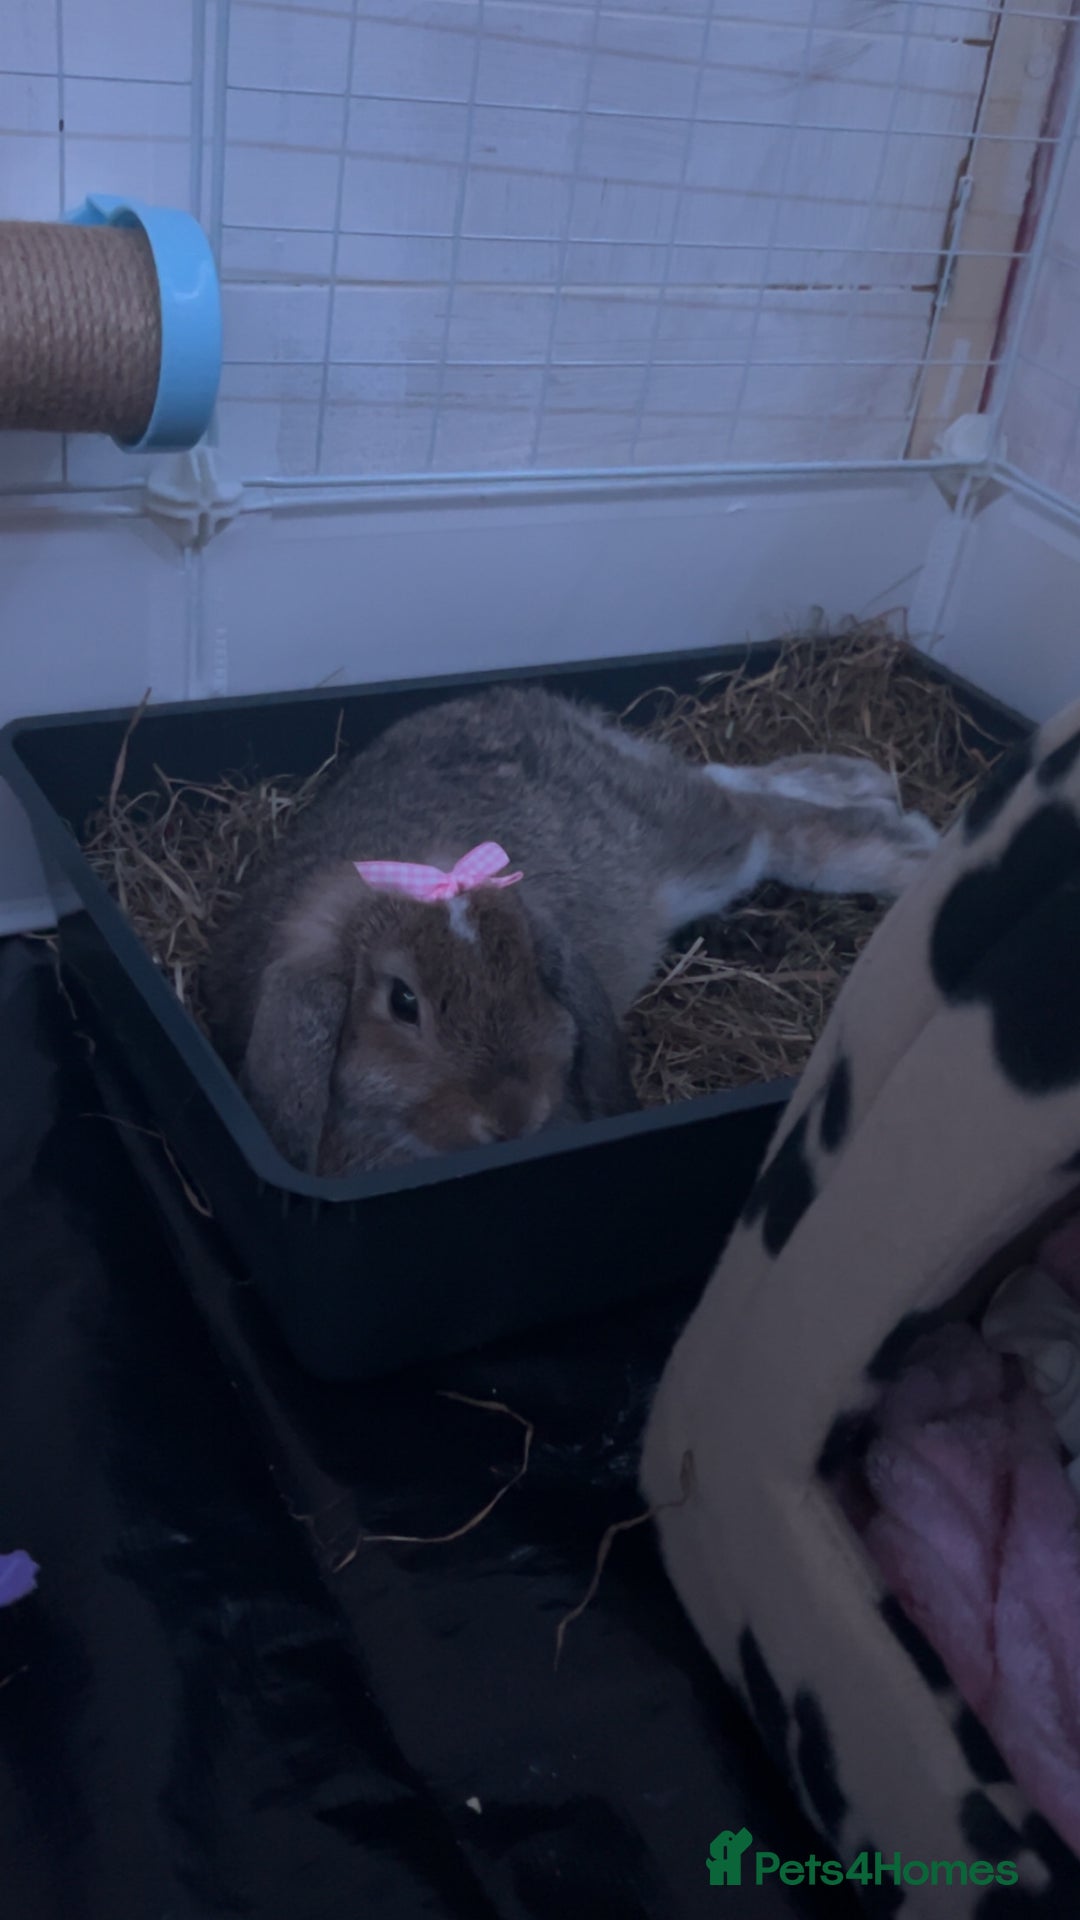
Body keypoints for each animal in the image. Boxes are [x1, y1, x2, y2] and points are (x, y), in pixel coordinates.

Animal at [203, 683, 938, 1176]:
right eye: (402, 1002)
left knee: (773, 827)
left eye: (530, 973)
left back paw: (915, 852)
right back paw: (867, 783)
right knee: (734, 784)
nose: (515, 1116)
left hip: (686, 859)